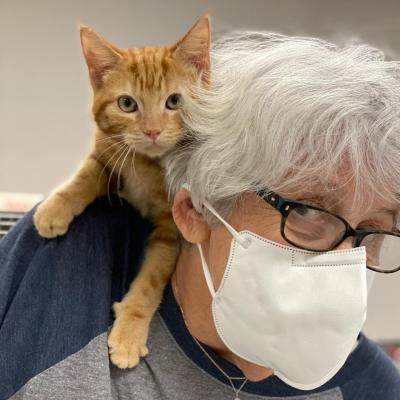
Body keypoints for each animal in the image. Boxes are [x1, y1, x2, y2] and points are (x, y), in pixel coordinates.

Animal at [32, 15, 211, 368]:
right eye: (127, 104)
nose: (152, 131)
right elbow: (86, 174)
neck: (146, 164)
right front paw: (55, 209)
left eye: (175, 101)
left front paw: (129, 332)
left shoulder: (173, 226)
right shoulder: (107, 153)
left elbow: (151, 278)